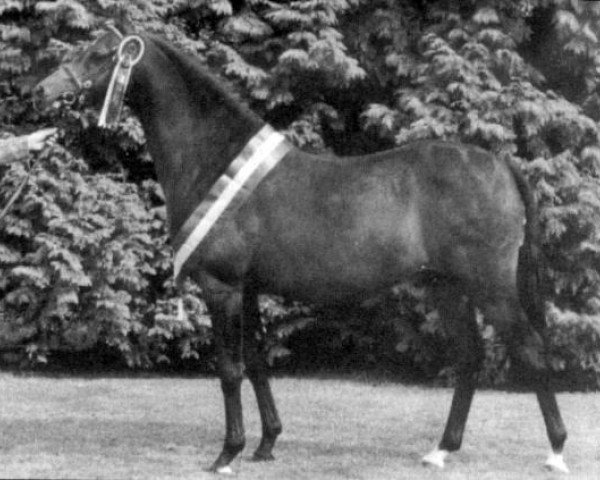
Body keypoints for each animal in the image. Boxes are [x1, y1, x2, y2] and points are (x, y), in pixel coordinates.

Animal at [35, 19, 568, 476]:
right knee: (470, 358)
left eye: (102, 54)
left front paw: (227, 454)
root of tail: (500, 164)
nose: (43, 89)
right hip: (448, 287)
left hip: (490, 286)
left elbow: (229, 369)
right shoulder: (249, 289)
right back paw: (440, 451)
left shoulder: (222, 286)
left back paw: (556, 453)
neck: (214, 160)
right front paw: (266, 444)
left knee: (532, 350)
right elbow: (257, 363)